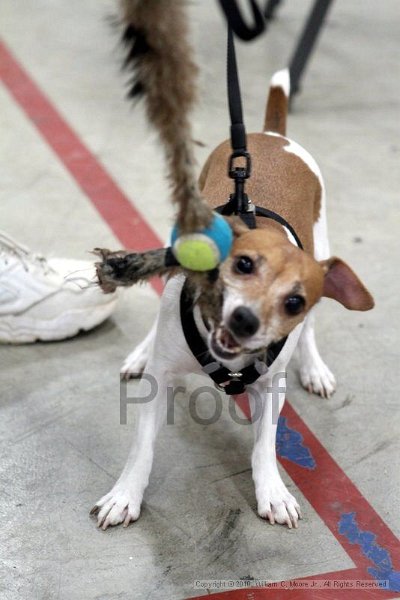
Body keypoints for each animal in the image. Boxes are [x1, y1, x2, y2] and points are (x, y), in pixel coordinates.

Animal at [92, 70, 374, 528]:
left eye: (293, 302)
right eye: (243, 264)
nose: (245, 319)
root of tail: (270, 134)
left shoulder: (271, 387)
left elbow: (264, 445)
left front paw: (273, 491)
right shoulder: (161, 380)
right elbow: (142, 447)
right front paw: (125, 495)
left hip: (323, 240)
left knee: (312, 328)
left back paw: (314, 367)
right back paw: (140, 351)